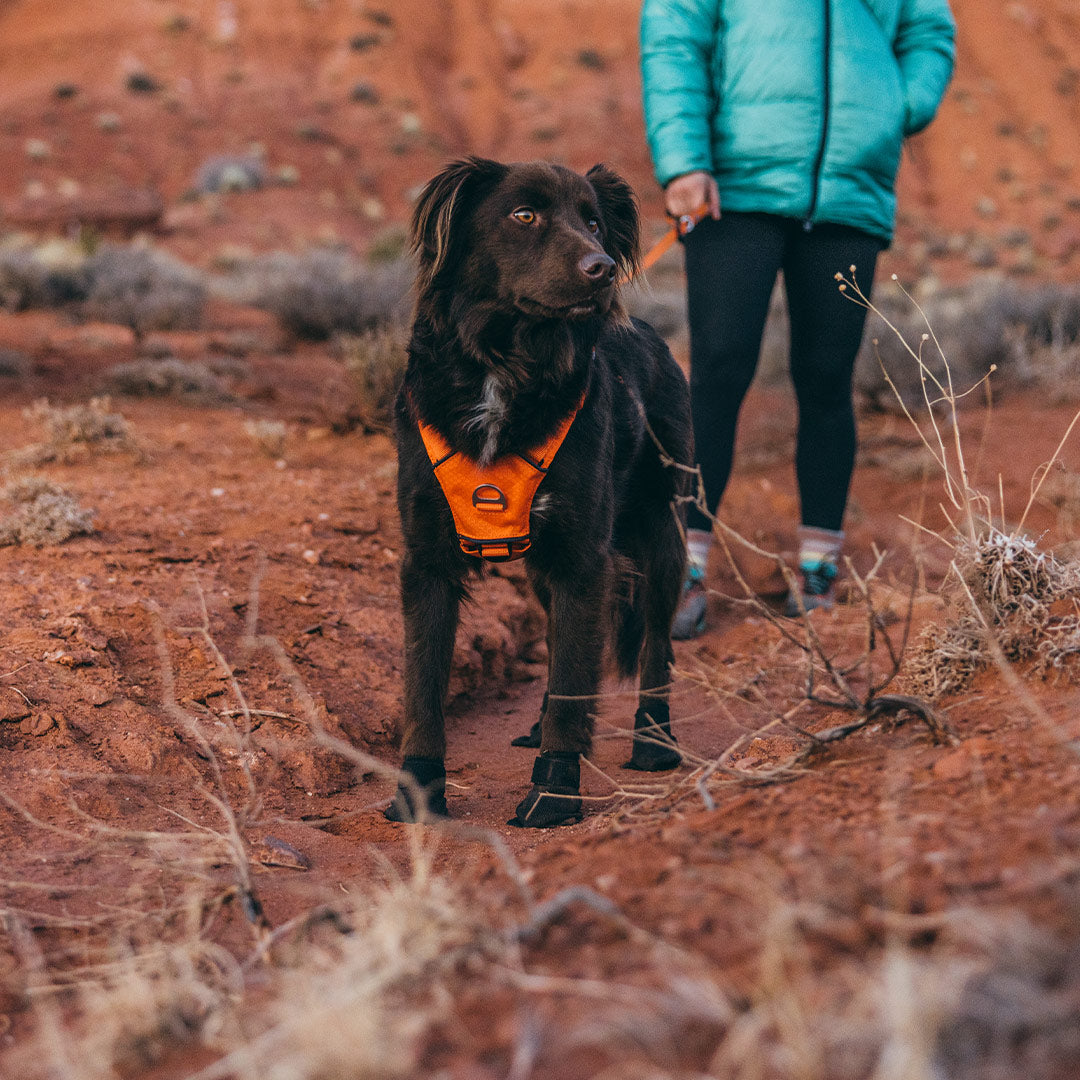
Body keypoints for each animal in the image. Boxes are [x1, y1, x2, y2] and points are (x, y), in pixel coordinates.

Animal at [386, 157, 691, 825]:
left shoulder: (583, 559)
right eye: (524, 215)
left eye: (594, 221)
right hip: (540, 568)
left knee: (656, 642)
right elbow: (423, 685)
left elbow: (577, 679)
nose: (603, 269)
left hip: (661, 530)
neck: (506, 366)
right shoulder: (427, 558)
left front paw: (553, 792)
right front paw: (418, 790)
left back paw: (655, 741)